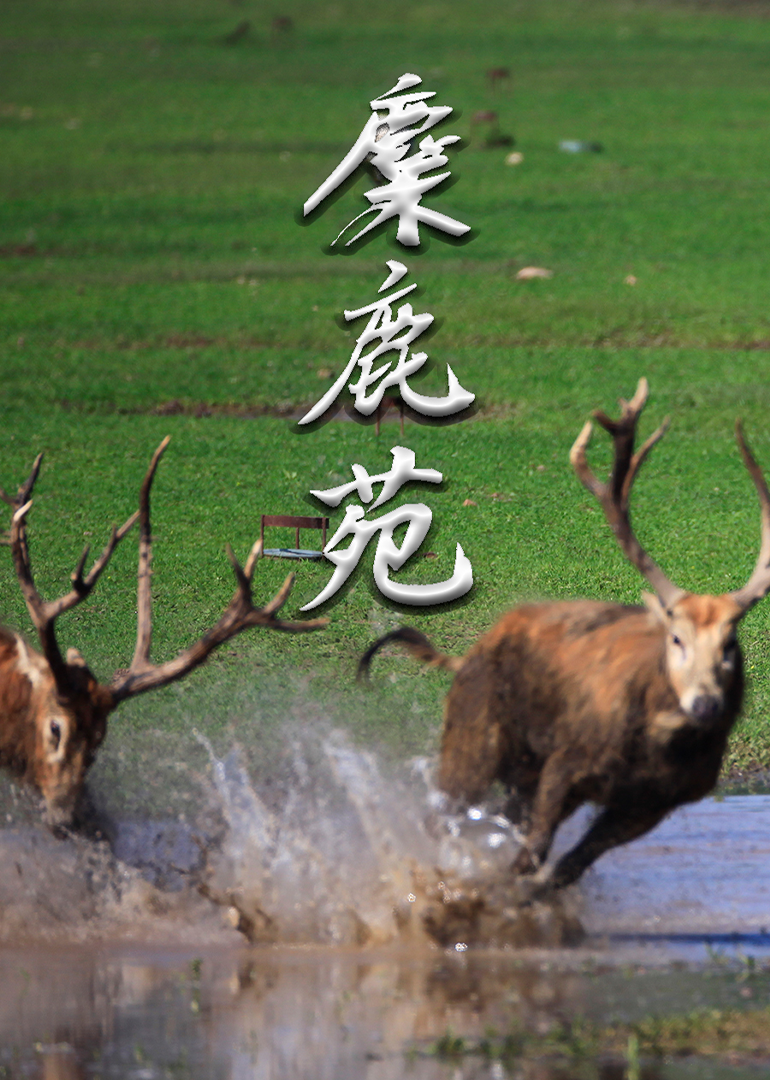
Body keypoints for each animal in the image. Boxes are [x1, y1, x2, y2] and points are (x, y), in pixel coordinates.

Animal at [359, 379, 770, 890]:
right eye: (676, 639)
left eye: (730, 645)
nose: (706, 704)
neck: (654, 744)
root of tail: (469, 654)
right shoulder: (566, 761)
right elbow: (532, 855)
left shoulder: (658, 801)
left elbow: (560, 870)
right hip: (473, 737)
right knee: (441, 814)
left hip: (521, 770)